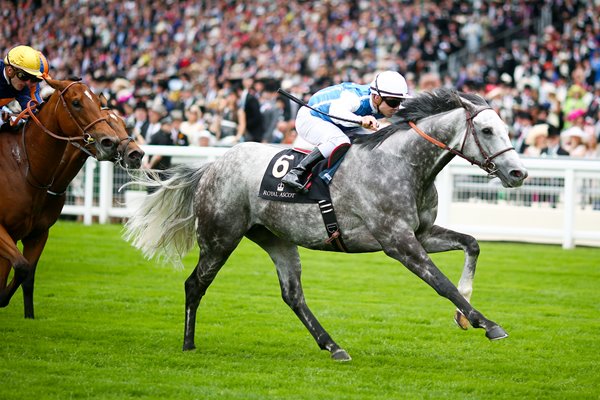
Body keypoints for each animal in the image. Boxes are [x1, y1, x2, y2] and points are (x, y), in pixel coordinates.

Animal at [125, 89, 524, 360]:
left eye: (505, 128)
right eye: (487, 130)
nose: (519, 173)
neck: (403, 164)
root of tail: (212, 165)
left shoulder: (420, 234)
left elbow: (472, 243)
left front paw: (464, 313)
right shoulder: (398, 242)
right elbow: (441, 283)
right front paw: (486, 324)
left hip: (276, 238)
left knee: (293, 295)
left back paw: (333, 346)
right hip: (220, 237)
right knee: (195, 284)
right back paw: (188, 343)